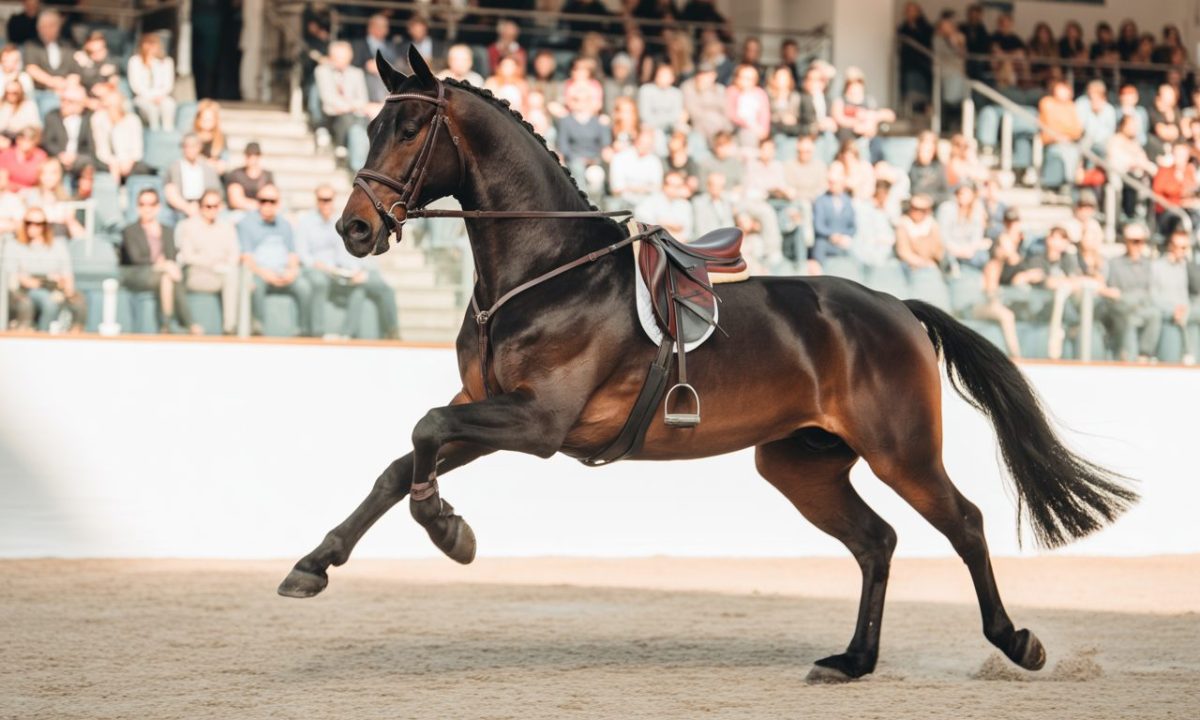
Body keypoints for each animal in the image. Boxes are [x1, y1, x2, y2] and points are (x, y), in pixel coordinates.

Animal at [278, 47, 1137, 683]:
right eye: (368, 126)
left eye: (410, 128)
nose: (353, 229)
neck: (545, 270)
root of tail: (895, 305)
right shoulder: (494, 413)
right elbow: (402, 461)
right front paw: (315, 564)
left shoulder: (539, 420)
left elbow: (422, 432)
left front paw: (449, 530)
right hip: (800, 462)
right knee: (876, 542)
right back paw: (852, 661)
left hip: (902, 450)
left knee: (963, 523)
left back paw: (1016, 641)